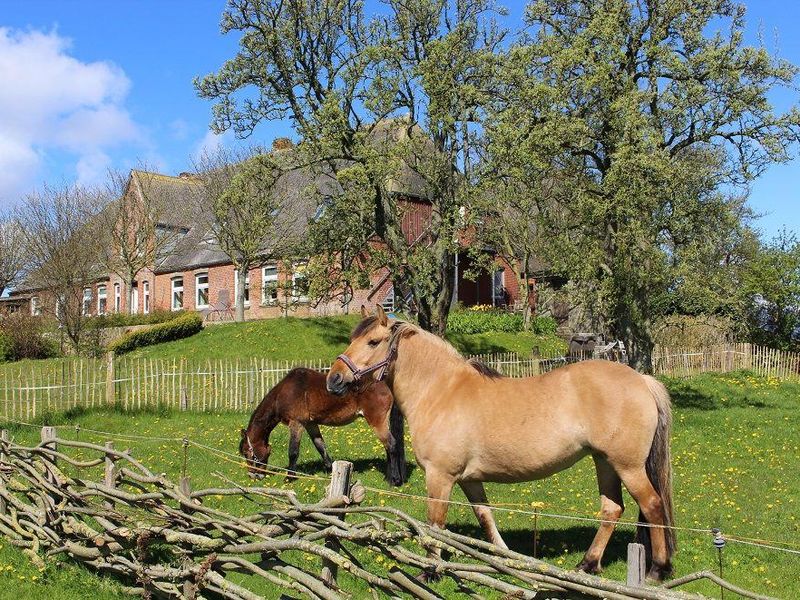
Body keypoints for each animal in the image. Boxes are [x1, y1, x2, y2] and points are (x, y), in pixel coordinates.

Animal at [238, 366, 406, 488]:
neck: (285, 393)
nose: (253, 475)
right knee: (388, 446)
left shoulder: (297, 424)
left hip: (377, 422)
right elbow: (321, 447)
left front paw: (290, 477)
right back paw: (388, 477)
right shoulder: (310, 424)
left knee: (391, 445)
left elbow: (293, 452)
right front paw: (331, 470)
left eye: (247, 453)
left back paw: (395, 480)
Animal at [324, 308, 676, 580]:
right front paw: (505, 560)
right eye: (352, 340)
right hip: (604, 462)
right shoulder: (469, 480)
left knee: (652, 505)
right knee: (612, 509)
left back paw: (657, 569)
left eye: (372, 342)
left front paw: (430, 571)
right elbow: (486, 518)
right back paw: (587, 564)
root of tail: (642, 381)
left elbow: (435, 525)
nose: (334, 379)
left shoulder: (440, 477)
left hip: (628, 466)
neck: (440, 391)